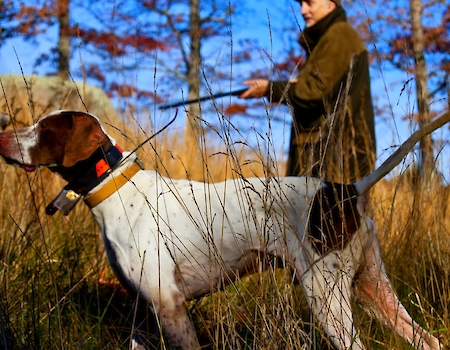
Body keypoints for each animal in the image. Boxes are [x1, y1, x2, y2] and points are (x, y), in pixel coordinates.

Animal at [0, 110, 444, 350]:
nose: (2, 134)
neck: (117, 190)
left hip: (327, 297)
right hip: (373, 287)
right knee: (430, 340)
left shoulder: (170, 304)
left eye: (44, 129)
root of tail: (345, 189)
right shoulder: (144, 312)